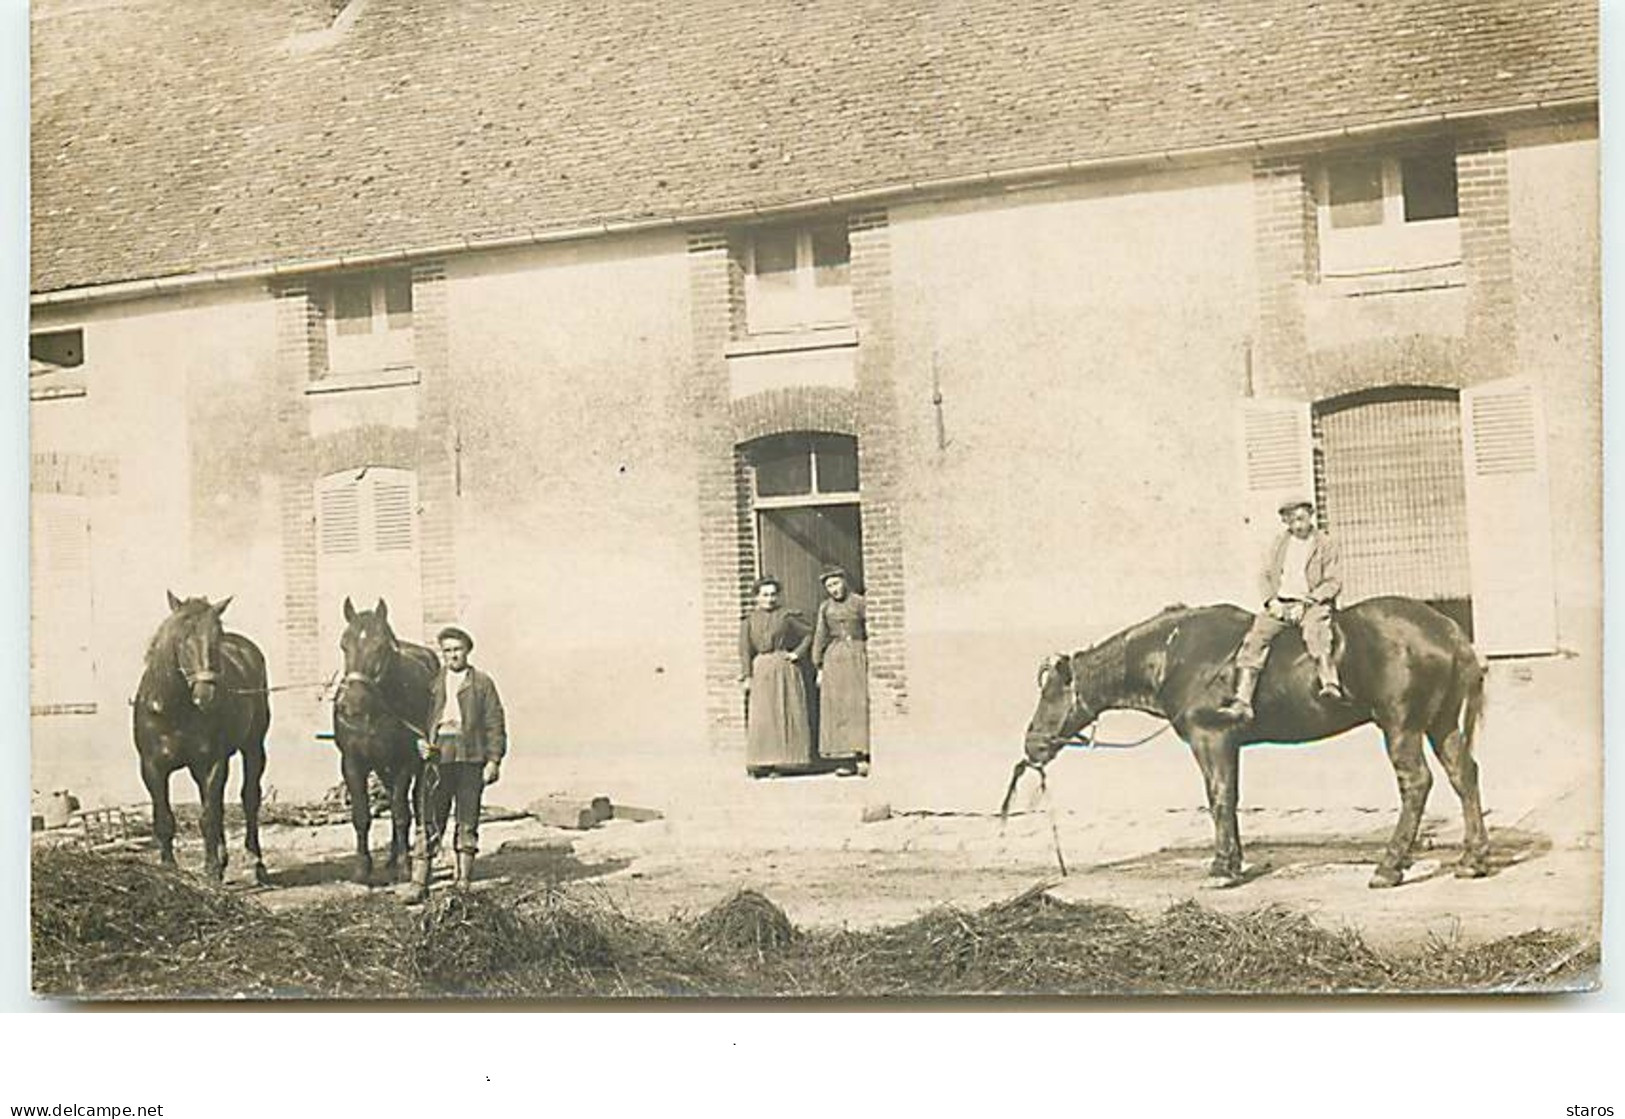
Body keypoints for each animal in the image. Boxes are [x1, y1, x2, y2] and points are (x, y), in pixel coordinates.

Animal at [134, 594, 271, 883]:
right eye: (183, 638)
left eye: (216, 637)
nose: (206, 695)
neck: (175, 710)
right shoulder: (152, 767)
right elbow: (164, 818)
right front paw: (169, 867)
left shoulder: (212, 762)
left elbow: (209, 816)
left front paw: (210, 870)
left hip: (253, 748)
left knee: (249, 799)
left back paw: (255, 863)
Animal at [333, 594, 442, 883]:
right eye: (343, 644)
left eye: (380, 646)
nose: (352, 704)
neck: (374, 711)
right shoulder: (353, 763)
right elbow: (361, 815)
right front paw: (362, 868)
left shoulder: (405, 761)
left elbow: (401, 813)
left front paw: (405, 866)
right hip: (383, 767)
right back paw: (392, 857)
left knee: (413, 804)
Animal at [1007, 597, 1488, 883]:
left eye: (1050, 694)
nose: (1032, 745)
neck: (1174, 654)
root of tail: (1446, 629)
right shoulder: (1227, 745)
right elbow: (1230, 798)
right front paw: (1233, 861)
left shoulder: (1211, 739)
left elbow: (1219, 797)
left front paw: (1223, 866)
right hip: (1440, 722)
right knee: (1464, 775)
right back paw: (1473, 859)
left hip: (1401, 725)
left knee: (1417, 784)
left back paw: (1389, 866)